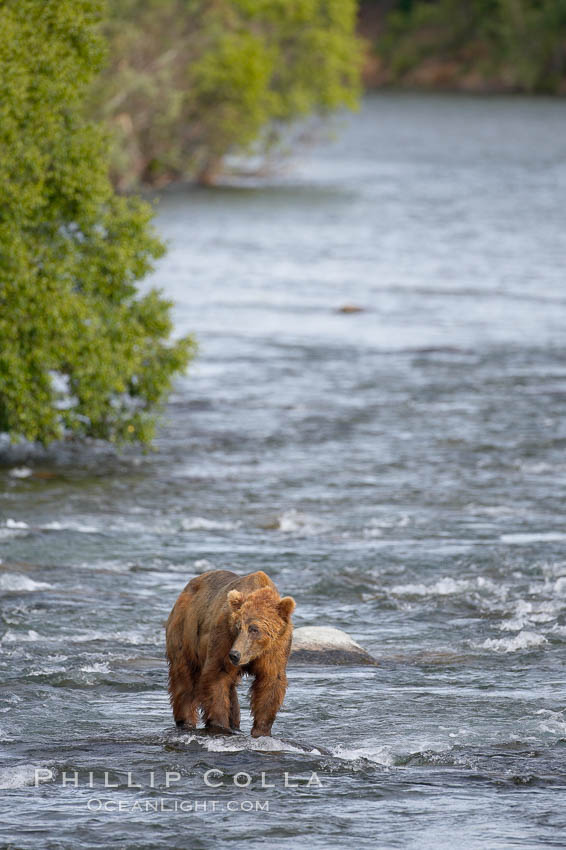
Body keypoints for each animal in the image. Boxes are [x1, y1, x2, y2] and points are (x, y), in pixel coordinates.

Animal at [165, 568, 296, 736]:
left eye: (254, 629)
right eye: (238, 626)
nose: (235, 655)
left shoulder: (276, 648)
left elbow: (270, 683)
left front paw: (261, 730)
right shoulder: (224, 637)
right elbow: (216, 677)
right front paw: (219, 725)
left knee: (231, 689)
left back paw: (235, 723)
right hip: (185, 631)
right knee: (184, 678)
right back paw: (185, 721)